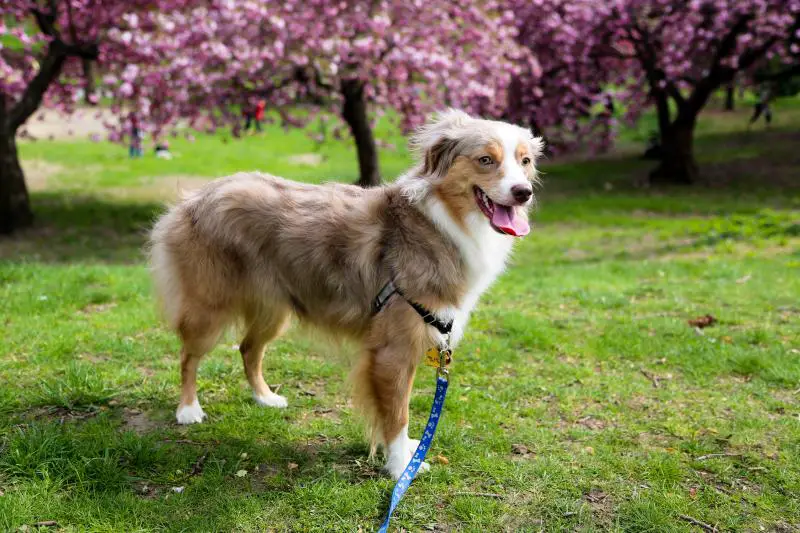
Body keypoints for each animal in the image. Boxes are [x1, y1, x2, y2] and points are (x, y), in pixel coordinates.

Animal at [150, 108, 544, 478]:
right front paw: (401, 466)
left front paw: (408, 454)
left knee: (248, 349)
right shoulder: (392, 351)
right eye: (486, 160)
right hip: (209, 310)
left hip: (275, 309)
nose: (523, 193)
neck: (440, 222)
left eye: (525, 162)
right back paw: (188, 409)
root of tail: (197, 196)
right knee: (188, 356)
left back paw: (265, 398)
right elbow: (397, 415)